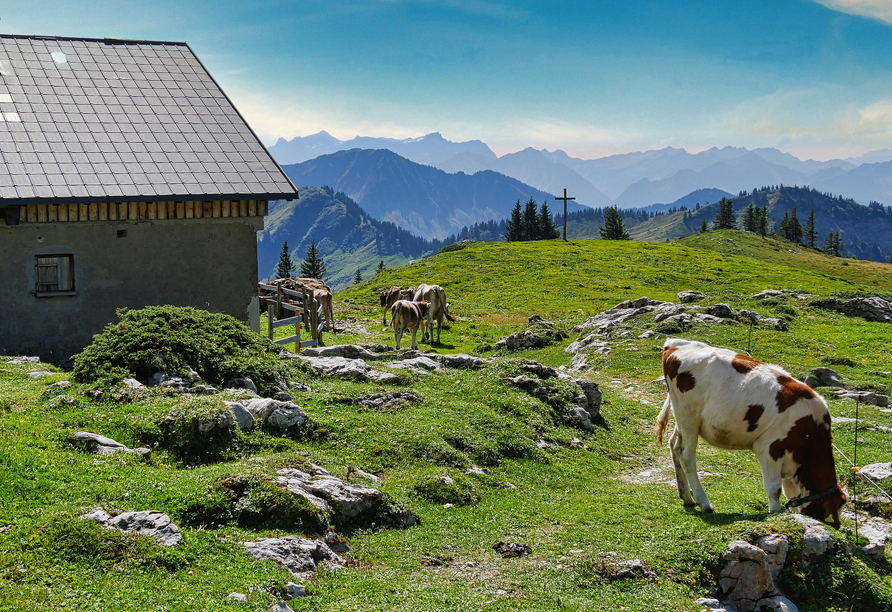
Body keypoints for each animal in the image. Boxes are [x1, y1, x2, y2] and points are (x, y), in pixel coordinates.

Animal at [652, 338, 848, 528]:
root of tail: (674, 345)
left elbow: (790, 492)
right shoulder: (770, 448)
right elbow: (775, 488)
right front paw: (775, 513)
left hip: (683, 417)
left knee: (674, 445)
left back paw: (687, 498)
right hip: (688, 416)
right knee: (686, 455)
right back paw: (704, 503)